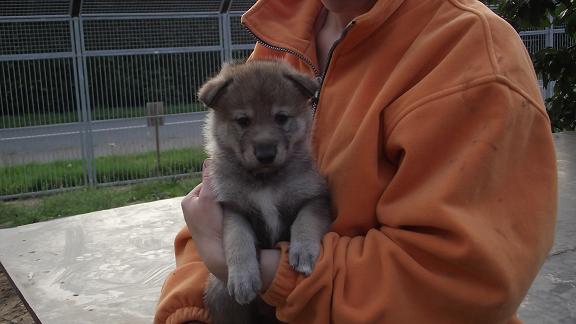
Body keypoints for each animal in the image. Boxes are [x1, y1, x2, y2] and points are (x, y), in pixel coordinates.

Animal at [199, 59, 330, 322]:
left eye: (281, 117)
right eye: (243, 120)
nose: (266, 154)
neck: (265, 181)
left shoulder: (314, 198)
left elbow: (305, 221)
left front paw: (303, 251)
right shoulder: (234, 209)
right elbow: (238, 239)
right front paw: (243, 277)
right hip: (220, 294)